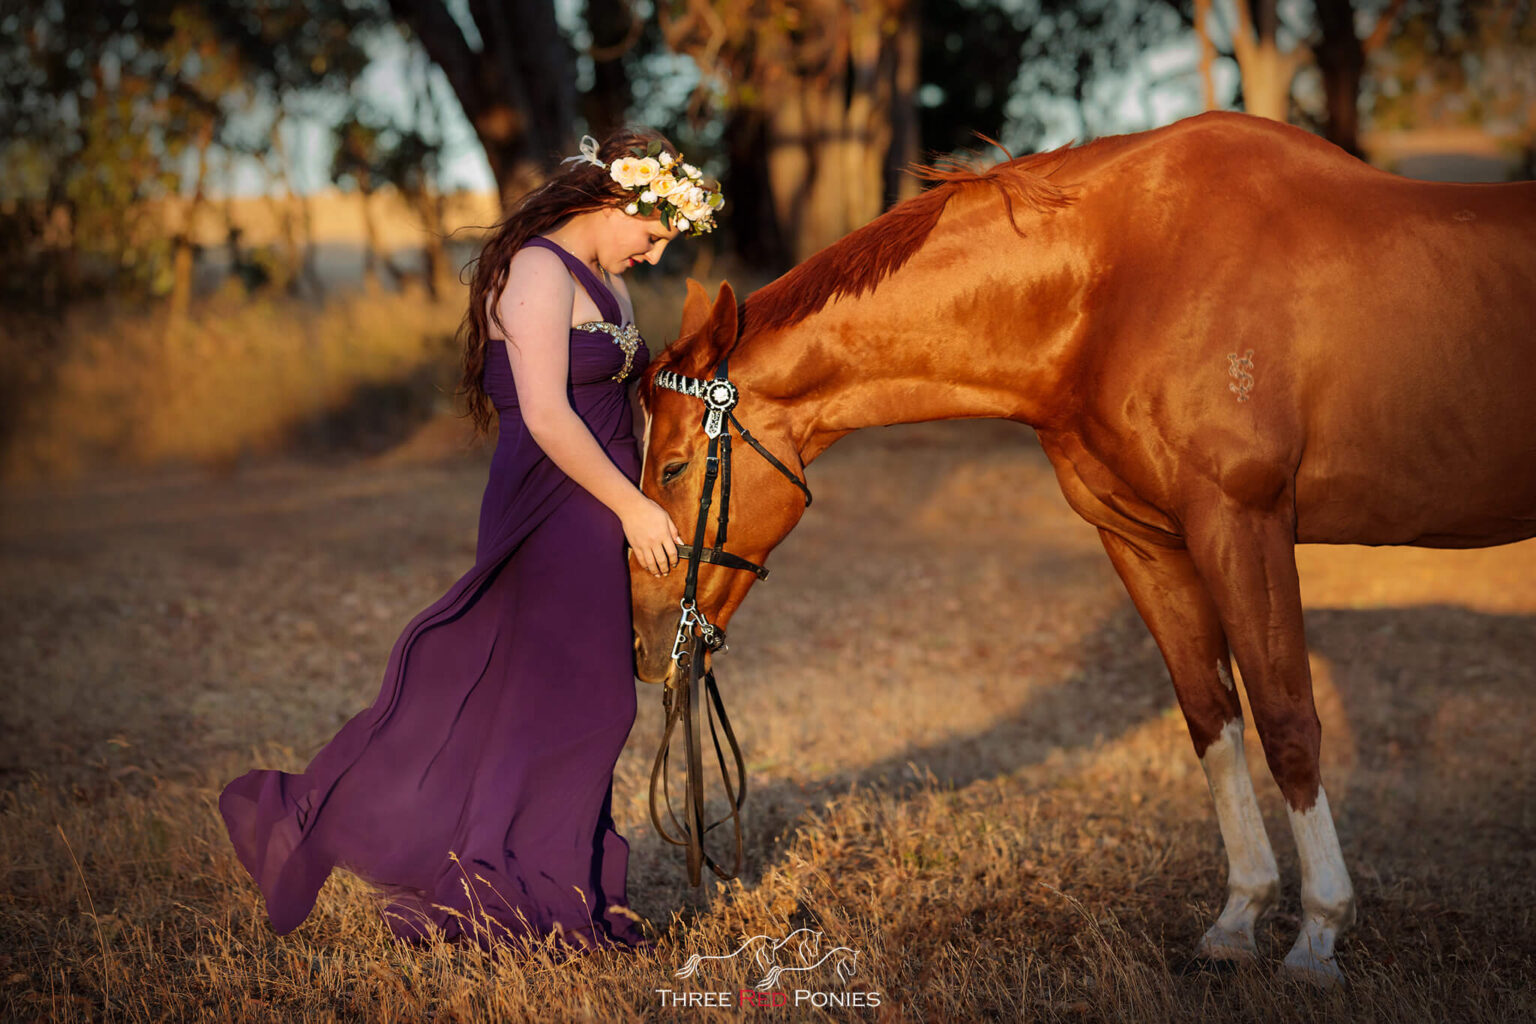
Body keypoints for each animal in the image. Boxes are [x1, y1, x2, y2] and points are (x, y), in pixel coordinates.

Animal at [626, 108, 1536, 982]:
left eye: (672, 466)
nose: (643, 638)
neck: (1121, 283)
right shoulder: (1144, 540)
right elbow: (1212, 717)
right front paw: (1237, 922)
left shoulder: (1243, 522)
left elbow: (1286, 722)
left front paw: (1318, 936)